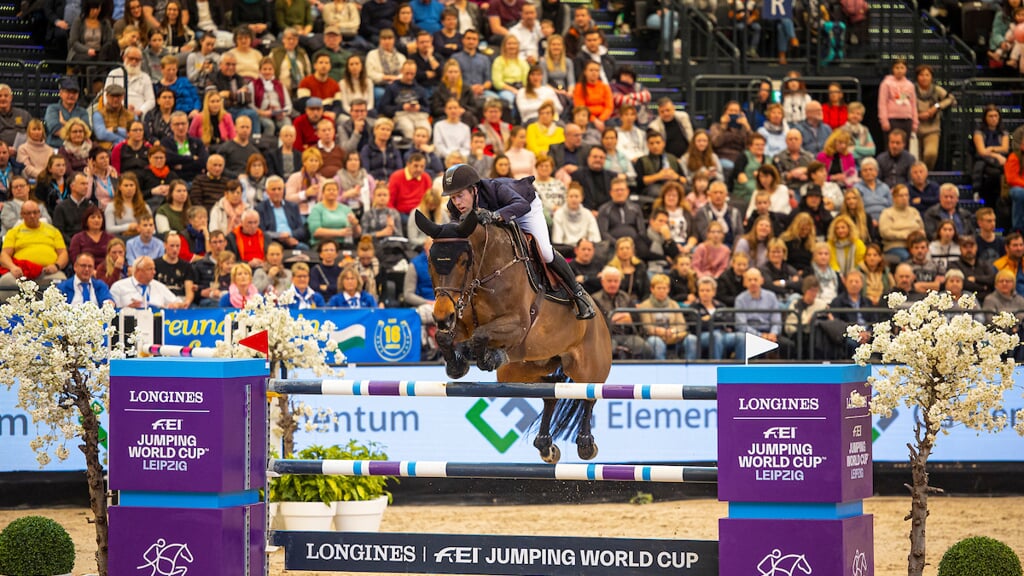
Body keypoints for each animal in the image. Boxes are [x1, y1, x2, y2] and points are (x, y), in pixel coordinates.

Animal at [413, 207, 606, 461]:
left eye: (464, 261)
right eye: (430, 261)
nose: (442, 317)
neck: (485, 274)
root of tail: (601, 315)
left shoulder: (519, 325)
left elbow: (480, 335)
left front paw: (487, 357)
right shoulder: (462, 321)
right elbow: (446, 337)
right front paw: (458, 365)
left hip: (587, 366)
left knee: (589, 394)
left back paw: (585, 443)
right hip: (521, 369)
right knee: (550, 390)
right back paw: (545, 444)